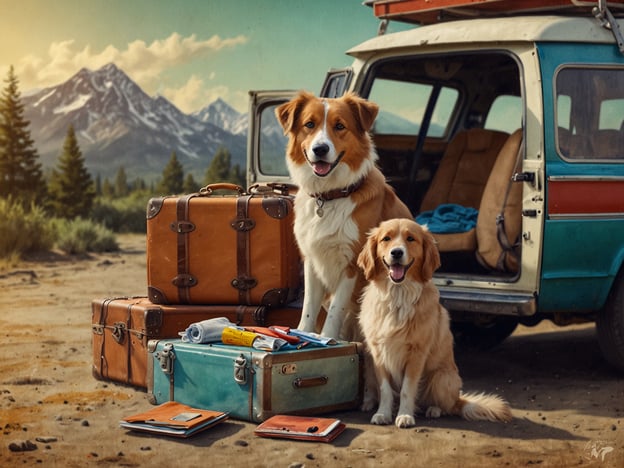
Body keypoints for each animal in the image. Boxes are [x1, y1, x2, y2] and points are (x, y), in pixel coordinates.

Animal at [276, 91, 412, 340]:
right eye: (309, 124)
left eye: (339, 126)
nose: (320, 149)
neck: (329, 196)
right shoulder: (312, 260)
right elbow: (309, 306)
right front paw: (304, 333)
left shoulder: (352, 264)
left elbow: (337, 309)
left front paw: (327, 337)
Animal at [356, 219, 512, 428]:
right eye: (386, 239)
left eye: (411, 238)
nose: (396, 252)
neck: (397, 296)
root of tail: (460, 398)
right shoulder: (378, 354)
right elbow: (386, 390)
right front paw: (383, 414)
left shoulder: (417, 353)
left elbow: (407, 389)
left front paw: (405, 415)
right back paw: (369, 403)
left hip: (442, 377)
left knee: (448, 406)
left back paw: (434, 410)